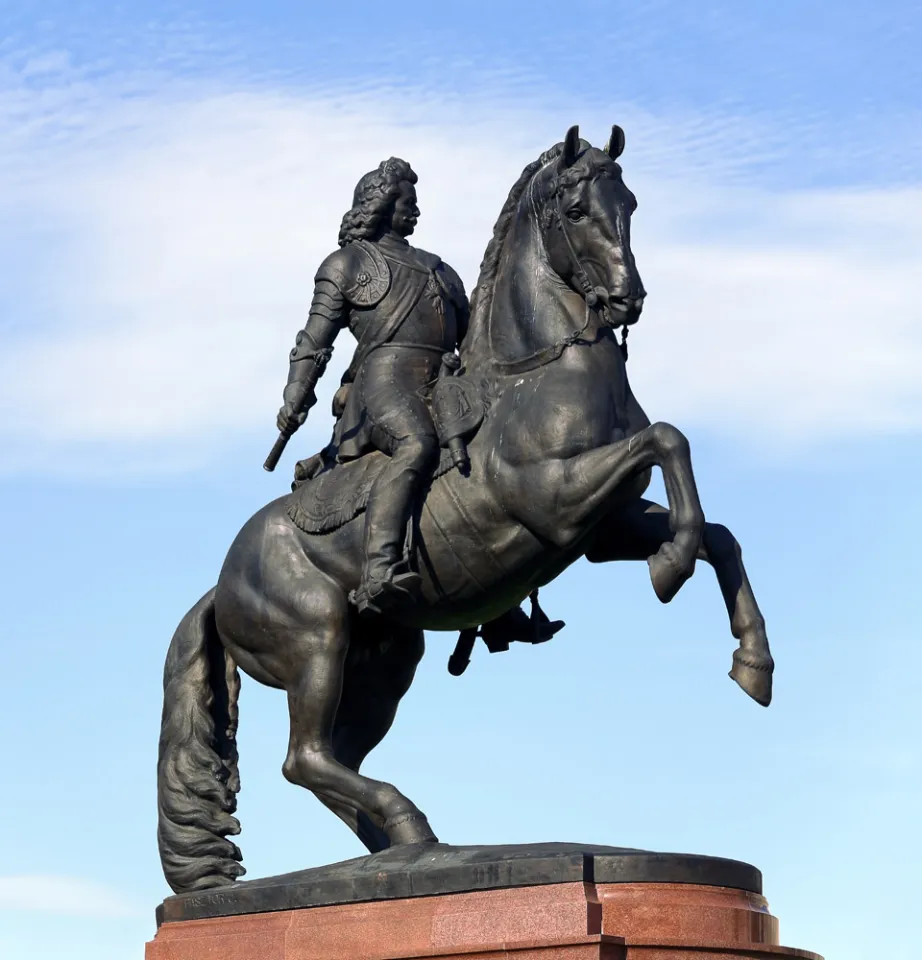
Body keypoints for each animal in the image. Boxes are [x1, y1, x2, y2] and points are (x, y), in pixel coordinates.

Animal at [155, 125, 772, 892]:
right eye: (576, 210)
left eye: (629, 202)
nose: (627, 299)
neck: (534, 374)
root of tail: (220, 584)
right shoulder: (557, 500)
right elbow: (669, 441)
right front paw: (671, 567)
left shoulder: (604, 528)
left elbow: (718, 528)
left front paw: (752, 659)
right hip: (316, 640)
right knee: (305, 757)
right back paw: (409, 827)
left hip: (382, 664)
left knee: (333, 762)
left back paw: (403, 850)